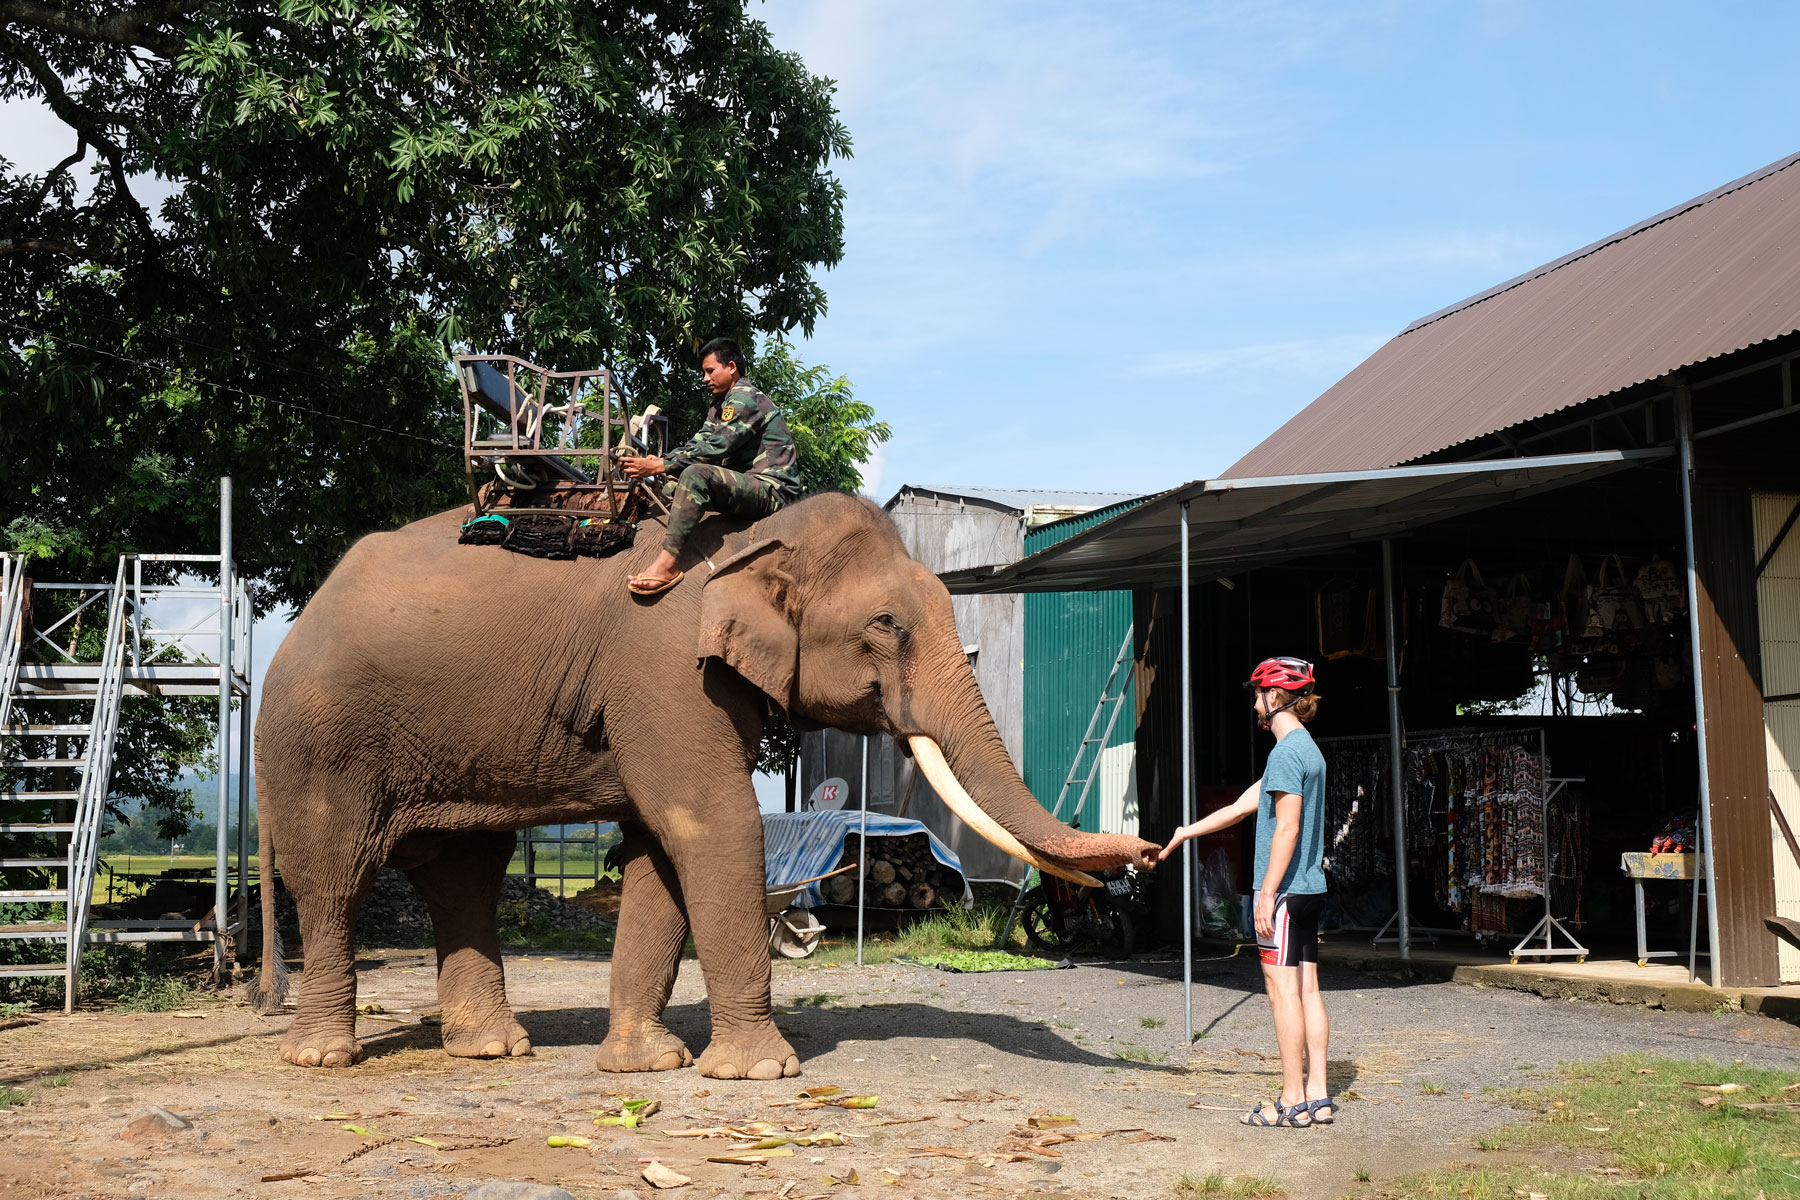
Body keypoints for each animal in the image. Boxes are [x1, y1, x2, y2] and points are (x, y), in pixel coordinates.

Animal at [250, 489, 1152, 1079]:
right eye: (887, 625)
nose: (1149, 851)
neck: (755, 538)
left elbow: (659, 847)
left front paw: (646, 1068)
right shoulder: (668, 672)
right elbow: (711, 824)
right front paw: (760, 1074)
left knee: (464, 871)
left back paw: (493, 1050)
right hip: (318, 737)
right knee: (334, 873)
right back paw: (324, 1056)